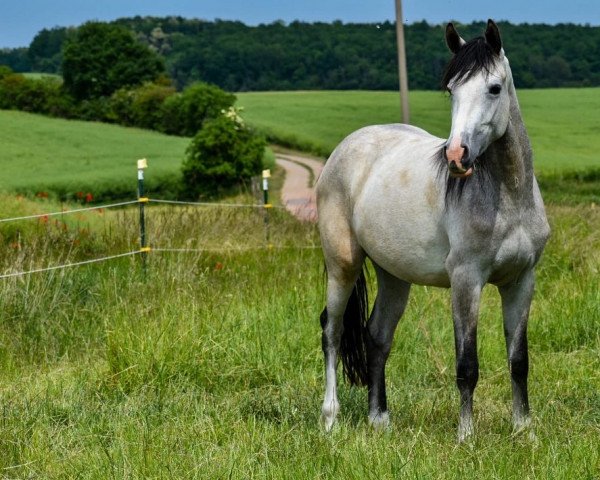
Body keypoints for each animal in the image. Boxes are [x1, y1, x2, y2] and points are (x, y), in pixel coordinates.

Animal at [316, 20, 552, 440]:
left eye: (494, 88)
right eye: (452, 90)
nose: (456, 156)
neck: (507, 198)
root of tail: (347, 148)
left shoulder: (521, 280)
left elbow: (519, 360)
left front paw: (524, 432)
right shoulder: (466, 281)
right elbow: (467, 365)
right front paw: (466, 437)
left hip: (393, 275)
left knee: (378, 336)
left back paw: (380, 420)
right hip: (342, 265)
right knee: (333, 330)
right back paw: (330, 418)